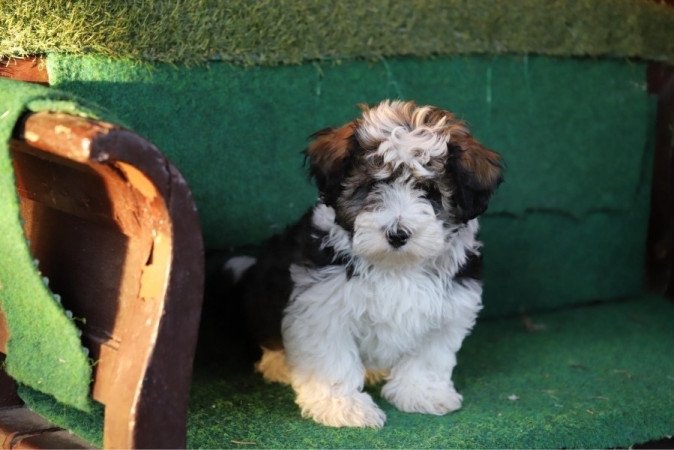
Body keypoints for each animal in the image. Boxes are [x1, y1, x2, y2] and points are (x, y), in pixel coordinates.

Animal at [226, 100, 498, 428]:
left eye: (430, 192)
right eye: (370, 186)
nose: (397, 233)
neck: (396, 266)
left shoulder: (450, 307)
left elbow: (429, 356)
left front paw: (422, 393)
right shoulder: (323, 306)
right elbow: (332, 359)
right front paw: (341, 405)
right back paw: (280, 364)